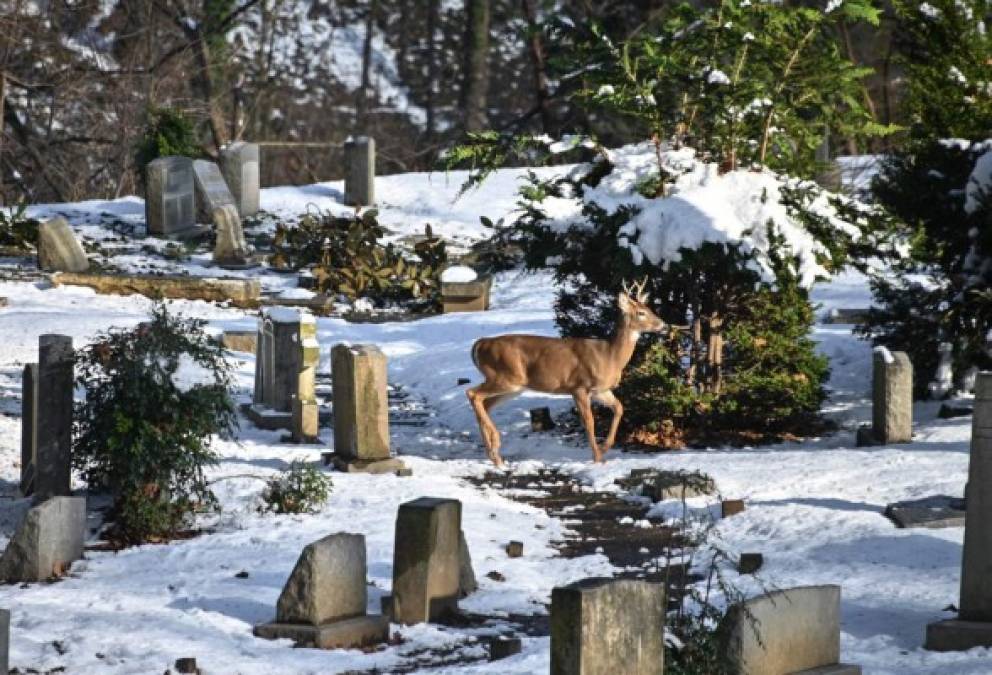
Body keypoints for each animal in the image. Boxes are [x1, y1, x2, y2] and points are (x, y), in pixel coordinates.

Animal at [466, 278, 668, 464]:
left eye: (650, 308)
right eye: (641, 313)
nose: (663, 324)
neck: (609, 356)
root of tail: (479, 344)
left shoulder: (600, 390)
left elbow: (619, 408)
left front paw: (604, 448)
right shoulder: (578, 386)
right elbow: (589, 421)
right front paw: (597, 457)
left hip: (513, 386)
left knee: (484, 403)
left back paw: (494, 455)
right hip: (505, 376)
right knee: (472, 393)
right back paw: (495, 446)